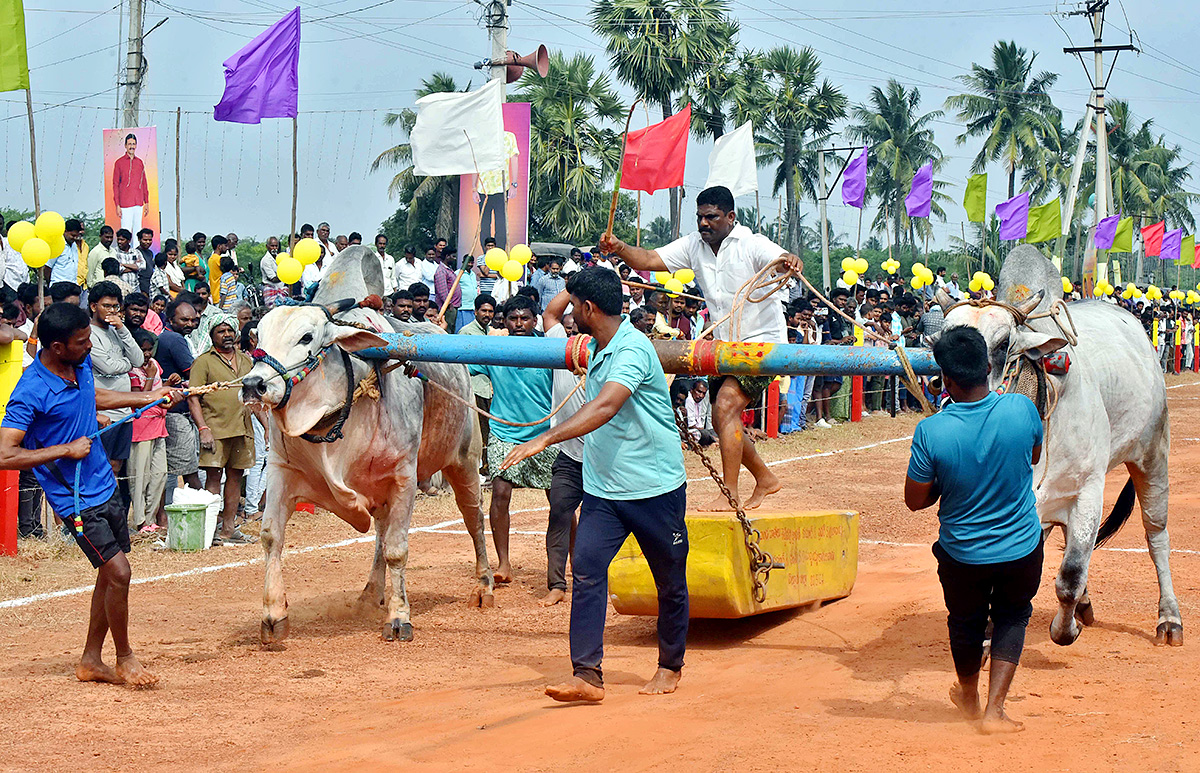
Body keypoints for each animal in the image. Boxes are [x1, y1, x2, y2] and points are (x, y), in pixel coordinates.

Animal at [241, 247, 494, 648]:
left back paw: (484, 585)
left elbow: (397, 550)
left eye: (306, 336)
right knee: (381, 534)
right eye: (257, 336)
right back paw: (372, 592)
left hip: (465, 463)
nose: (253, 385)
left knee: (474, 520)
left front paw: (400, 617)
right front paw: (272, 615)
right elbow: (271, 537)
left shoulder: (404, 477)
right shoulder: (282, 471)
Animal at [936, 246, 1180, 648]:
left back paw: (1169, 619)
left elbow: (1069, 577)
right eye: (938, 351)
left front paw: (1065, 630)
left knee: (1156, 535)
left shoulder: (1088, 492)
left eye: (1002, 345)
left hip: (1152, 453)